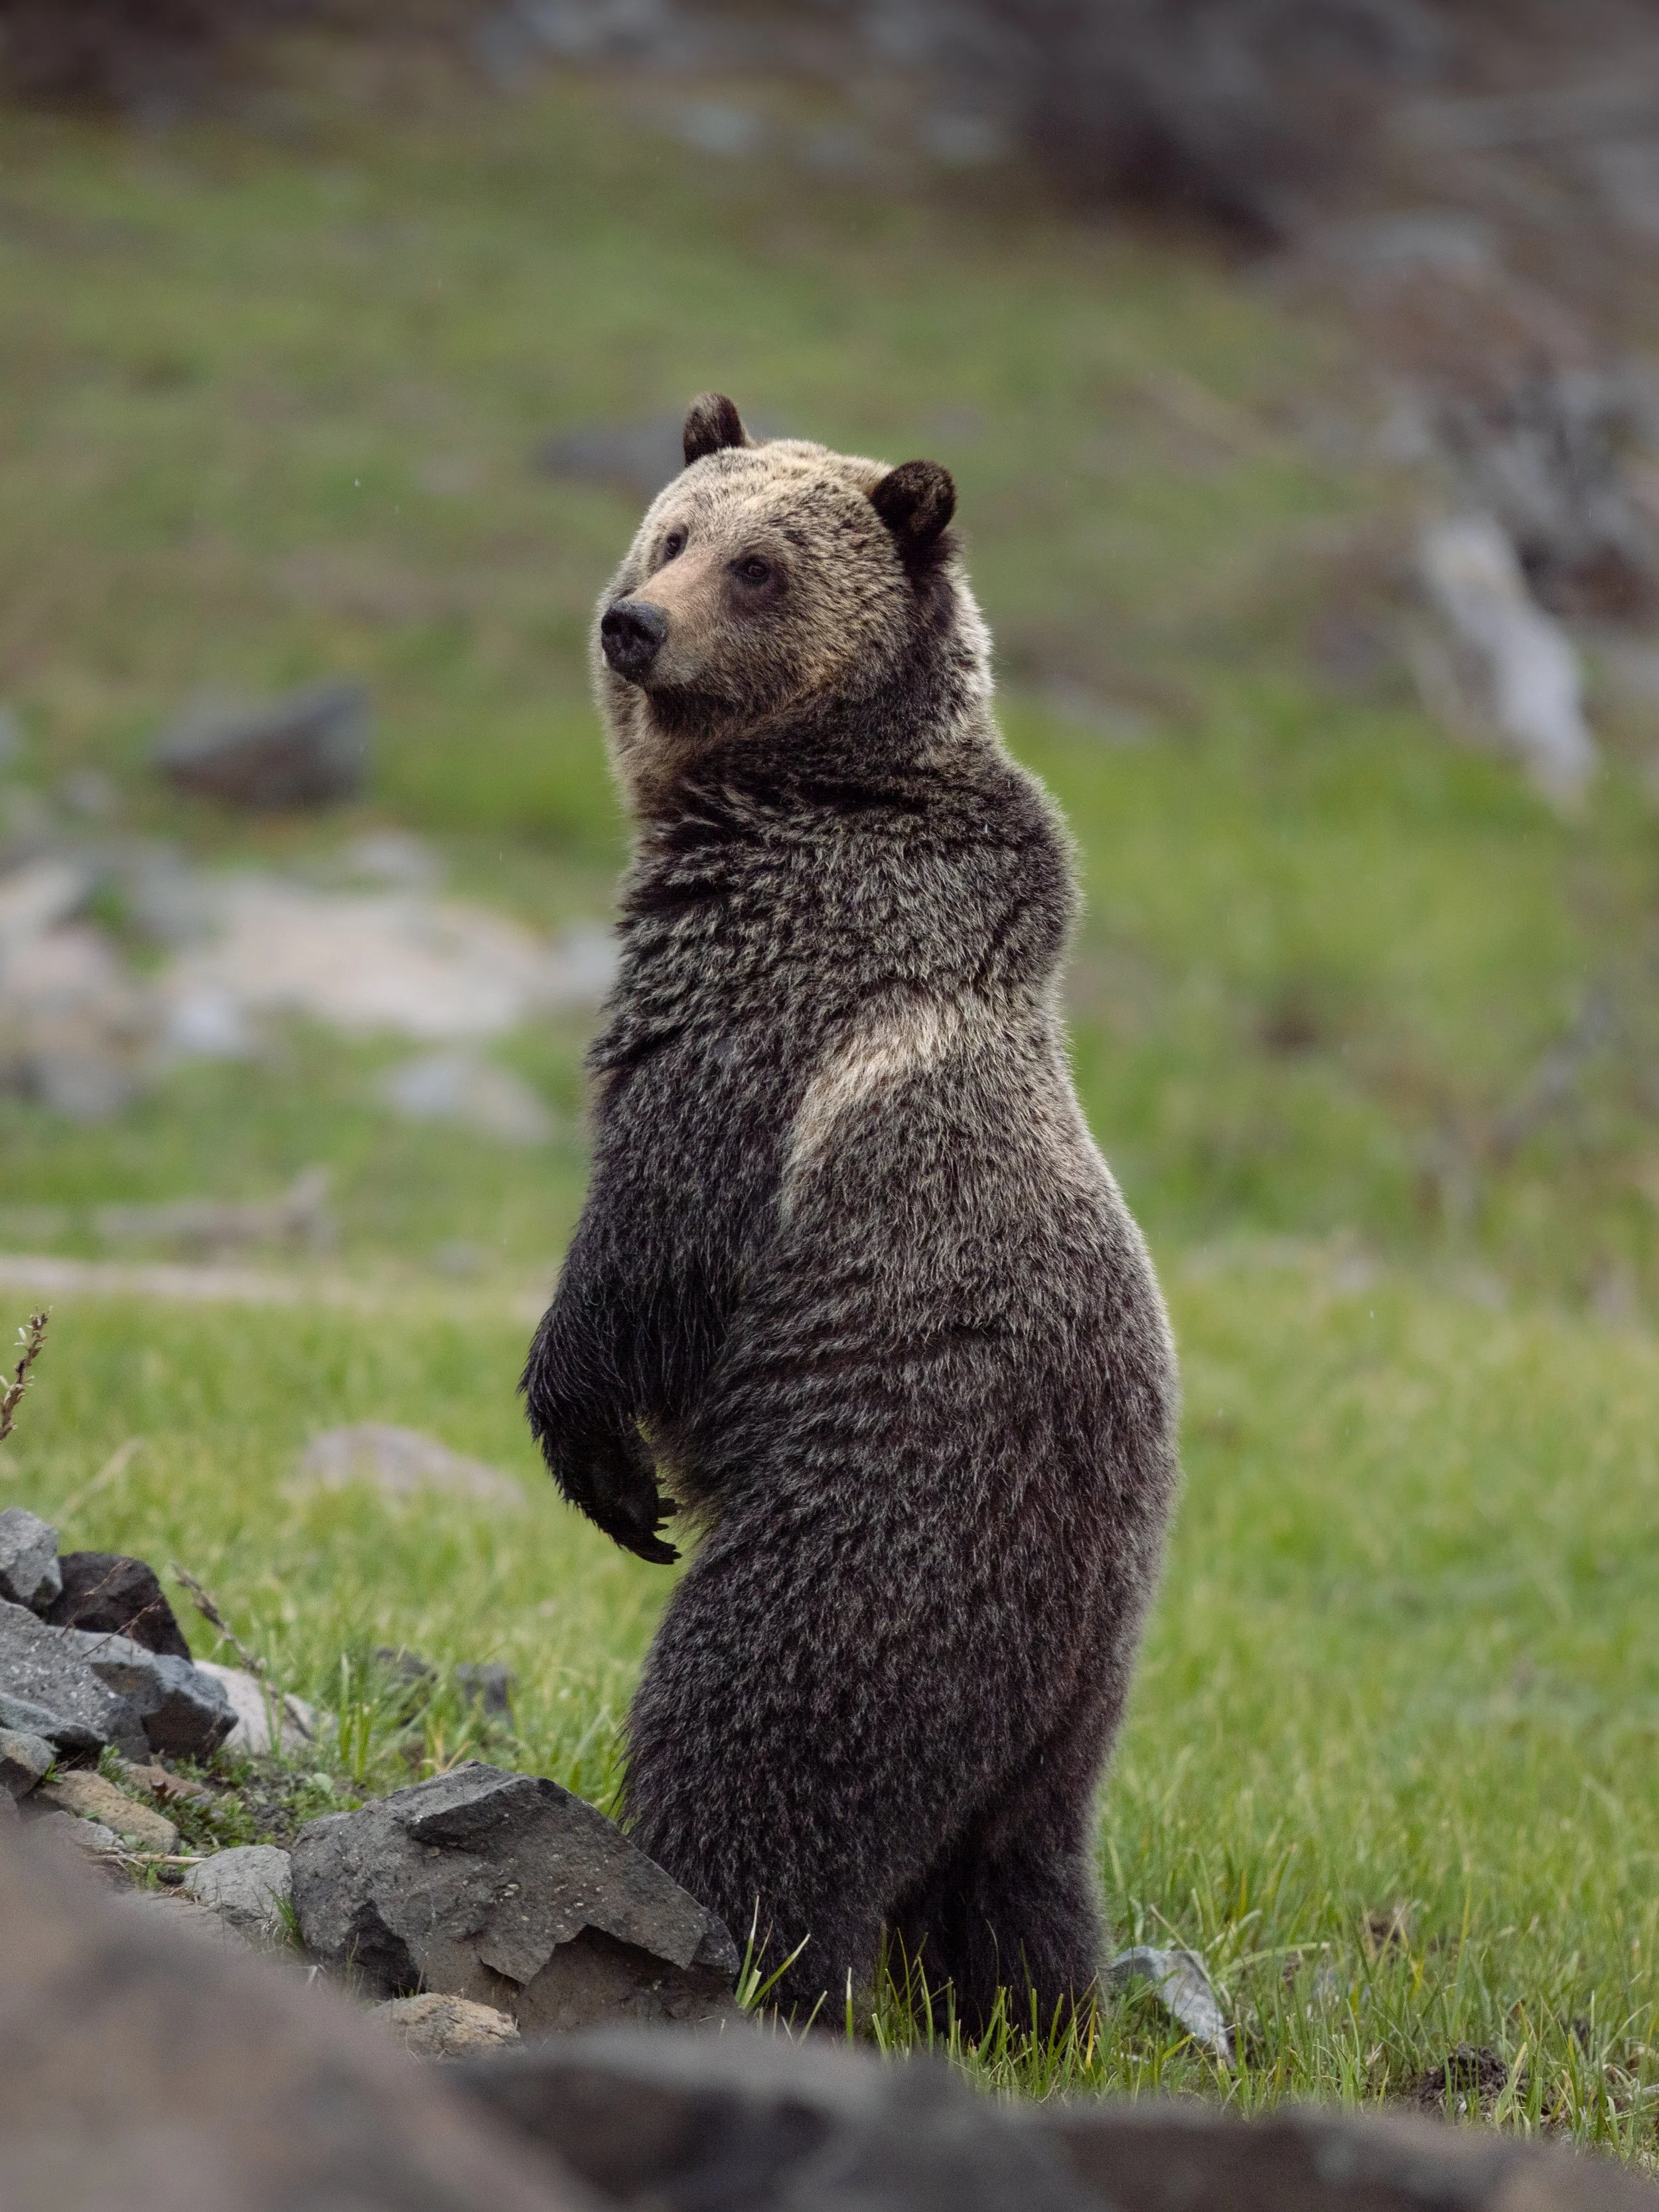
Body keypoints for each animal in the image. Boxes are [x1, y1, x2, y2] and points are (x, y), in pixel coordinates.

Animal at [523, 392, 1180, 2032]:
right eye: (675, 529)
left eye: (760, 566)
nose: (634, 625)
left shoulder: (770, 989)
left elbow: (657, 1225)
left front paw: (595, 1450)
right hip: (1068, 1708)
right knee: (1014, 1878)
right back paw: (1034, 2014)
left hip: (880, 1542)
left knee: (754, 1755)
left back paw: (719, 1956)